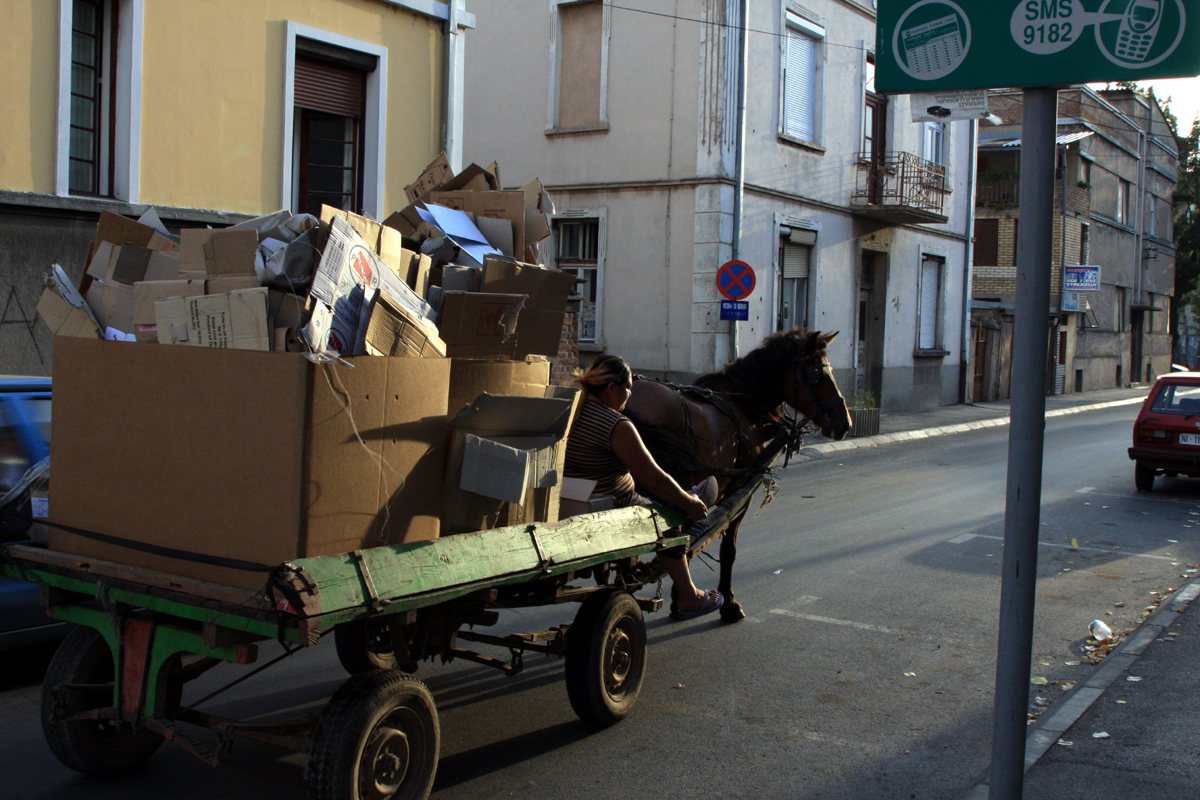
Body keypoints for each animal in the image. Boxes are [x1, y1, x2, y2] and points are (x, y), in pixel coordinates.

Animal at [624, 328, 849, 623]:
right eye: (817, 374)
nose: (845, 424)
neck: (743, 401)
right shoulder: (737, 492)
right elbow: (724, 549)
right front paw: (725, 604)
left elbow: (687, 545)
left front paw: (679, 601)